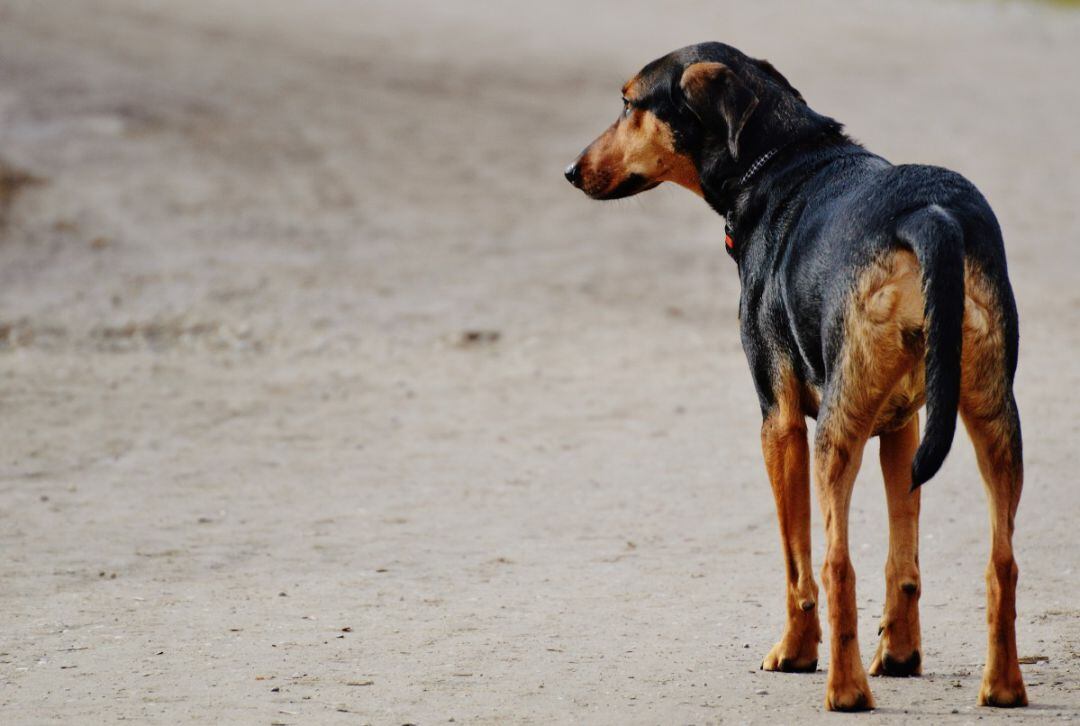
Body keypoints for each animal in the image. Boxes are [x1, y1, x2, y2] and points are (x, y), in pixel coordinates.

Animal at [565, 42, 1028, 713]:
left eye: (629, 103)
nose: (570, 171)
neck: (781, 159)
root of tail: (930, 217)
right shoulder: (904, 425)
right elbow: (903, 561)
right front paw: (901, 656)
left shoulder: (777, 423)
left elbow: (796, 560)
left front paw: (796, 651)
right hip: (994, 417)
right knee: (1002, 561)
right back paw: (1003, 687)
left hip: (834, 434)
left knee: (837, 565)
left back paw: (845, 690)